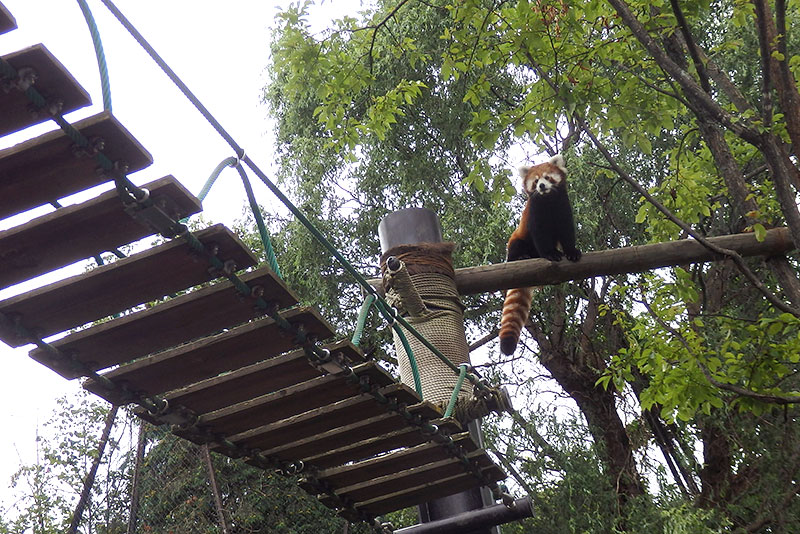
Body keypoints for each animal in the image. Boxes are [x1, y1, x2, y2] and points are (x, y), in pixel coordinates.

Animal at [500, 155, 580, 356]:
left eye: (547, 177)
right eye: (536, 181)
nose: (542, 186)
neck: (548, 201)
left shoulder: (563, 208)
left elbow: (567, 232)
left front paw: (571, 252)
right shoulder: (535, 214)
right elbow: (541, 236)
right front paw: (551, 254)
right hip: (516, 242)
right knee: (518, 246)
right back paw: (522, 257)